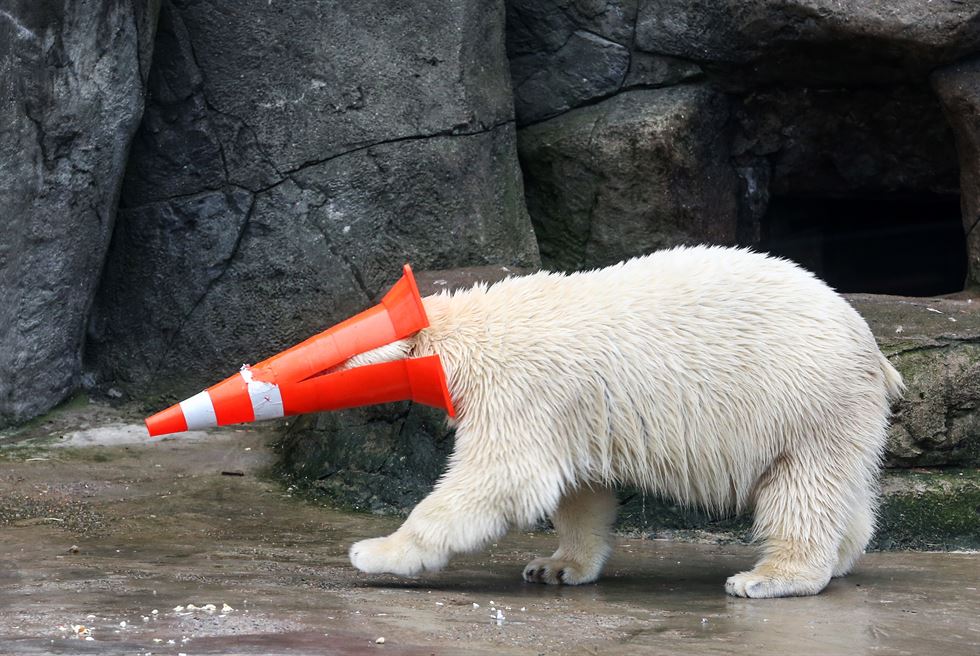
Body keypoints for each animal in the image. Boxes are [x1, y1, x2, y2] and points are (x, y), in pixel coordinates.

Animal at [344, 246, 904, 600]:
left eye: (342, 354)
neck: (476, 330)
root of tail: (874, 350)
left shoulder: (522, 386)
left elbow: (503, 477)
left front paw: (375, 552)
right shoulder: (574, 412)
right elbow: (579, 491)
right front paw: (556, 566)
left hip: (804, 399)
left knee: (802, 489)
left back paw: (767, 578)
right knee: (839, 488)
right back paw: (841, 554)